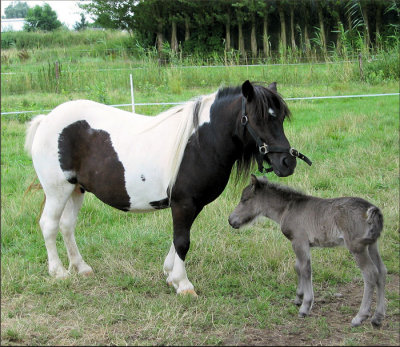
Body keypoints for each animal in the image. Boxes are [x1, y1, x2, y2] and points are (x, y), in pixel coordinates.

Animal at [230, 175, 386, 328]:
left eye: (244, 199)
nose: (230, 220)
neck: (287, 208)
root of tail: (372, 209)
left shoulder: (299, 241)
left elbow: (305, 269)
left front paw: (305, 306)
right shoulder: (300, 244)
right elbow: (298, 267)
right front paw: (299, 297)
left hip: (357, 247)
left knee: (370, 274)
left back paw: (360, 317)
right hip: (372, 245)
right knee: (381, 271)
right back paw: (377, 317)